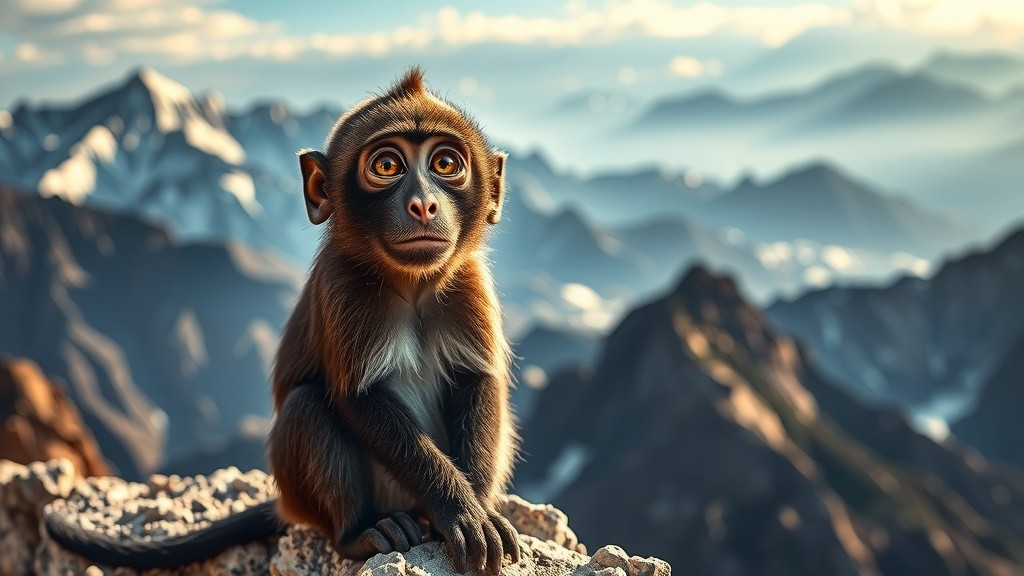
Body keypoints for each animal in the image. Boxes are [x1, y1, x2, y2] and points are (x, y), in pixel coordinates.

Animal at [44, 68, 522, 575]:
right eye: (387, 166)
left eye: (446, 164)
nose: (423, 205)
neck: (411, 284)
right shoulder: (342, 287)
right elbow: (359, 398)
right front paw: (460, 510)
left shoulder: (470, 286)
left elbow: (476, 381)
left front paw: (480, 510)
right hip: (308, 498)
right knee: (307, 408)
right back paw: (358, 533)